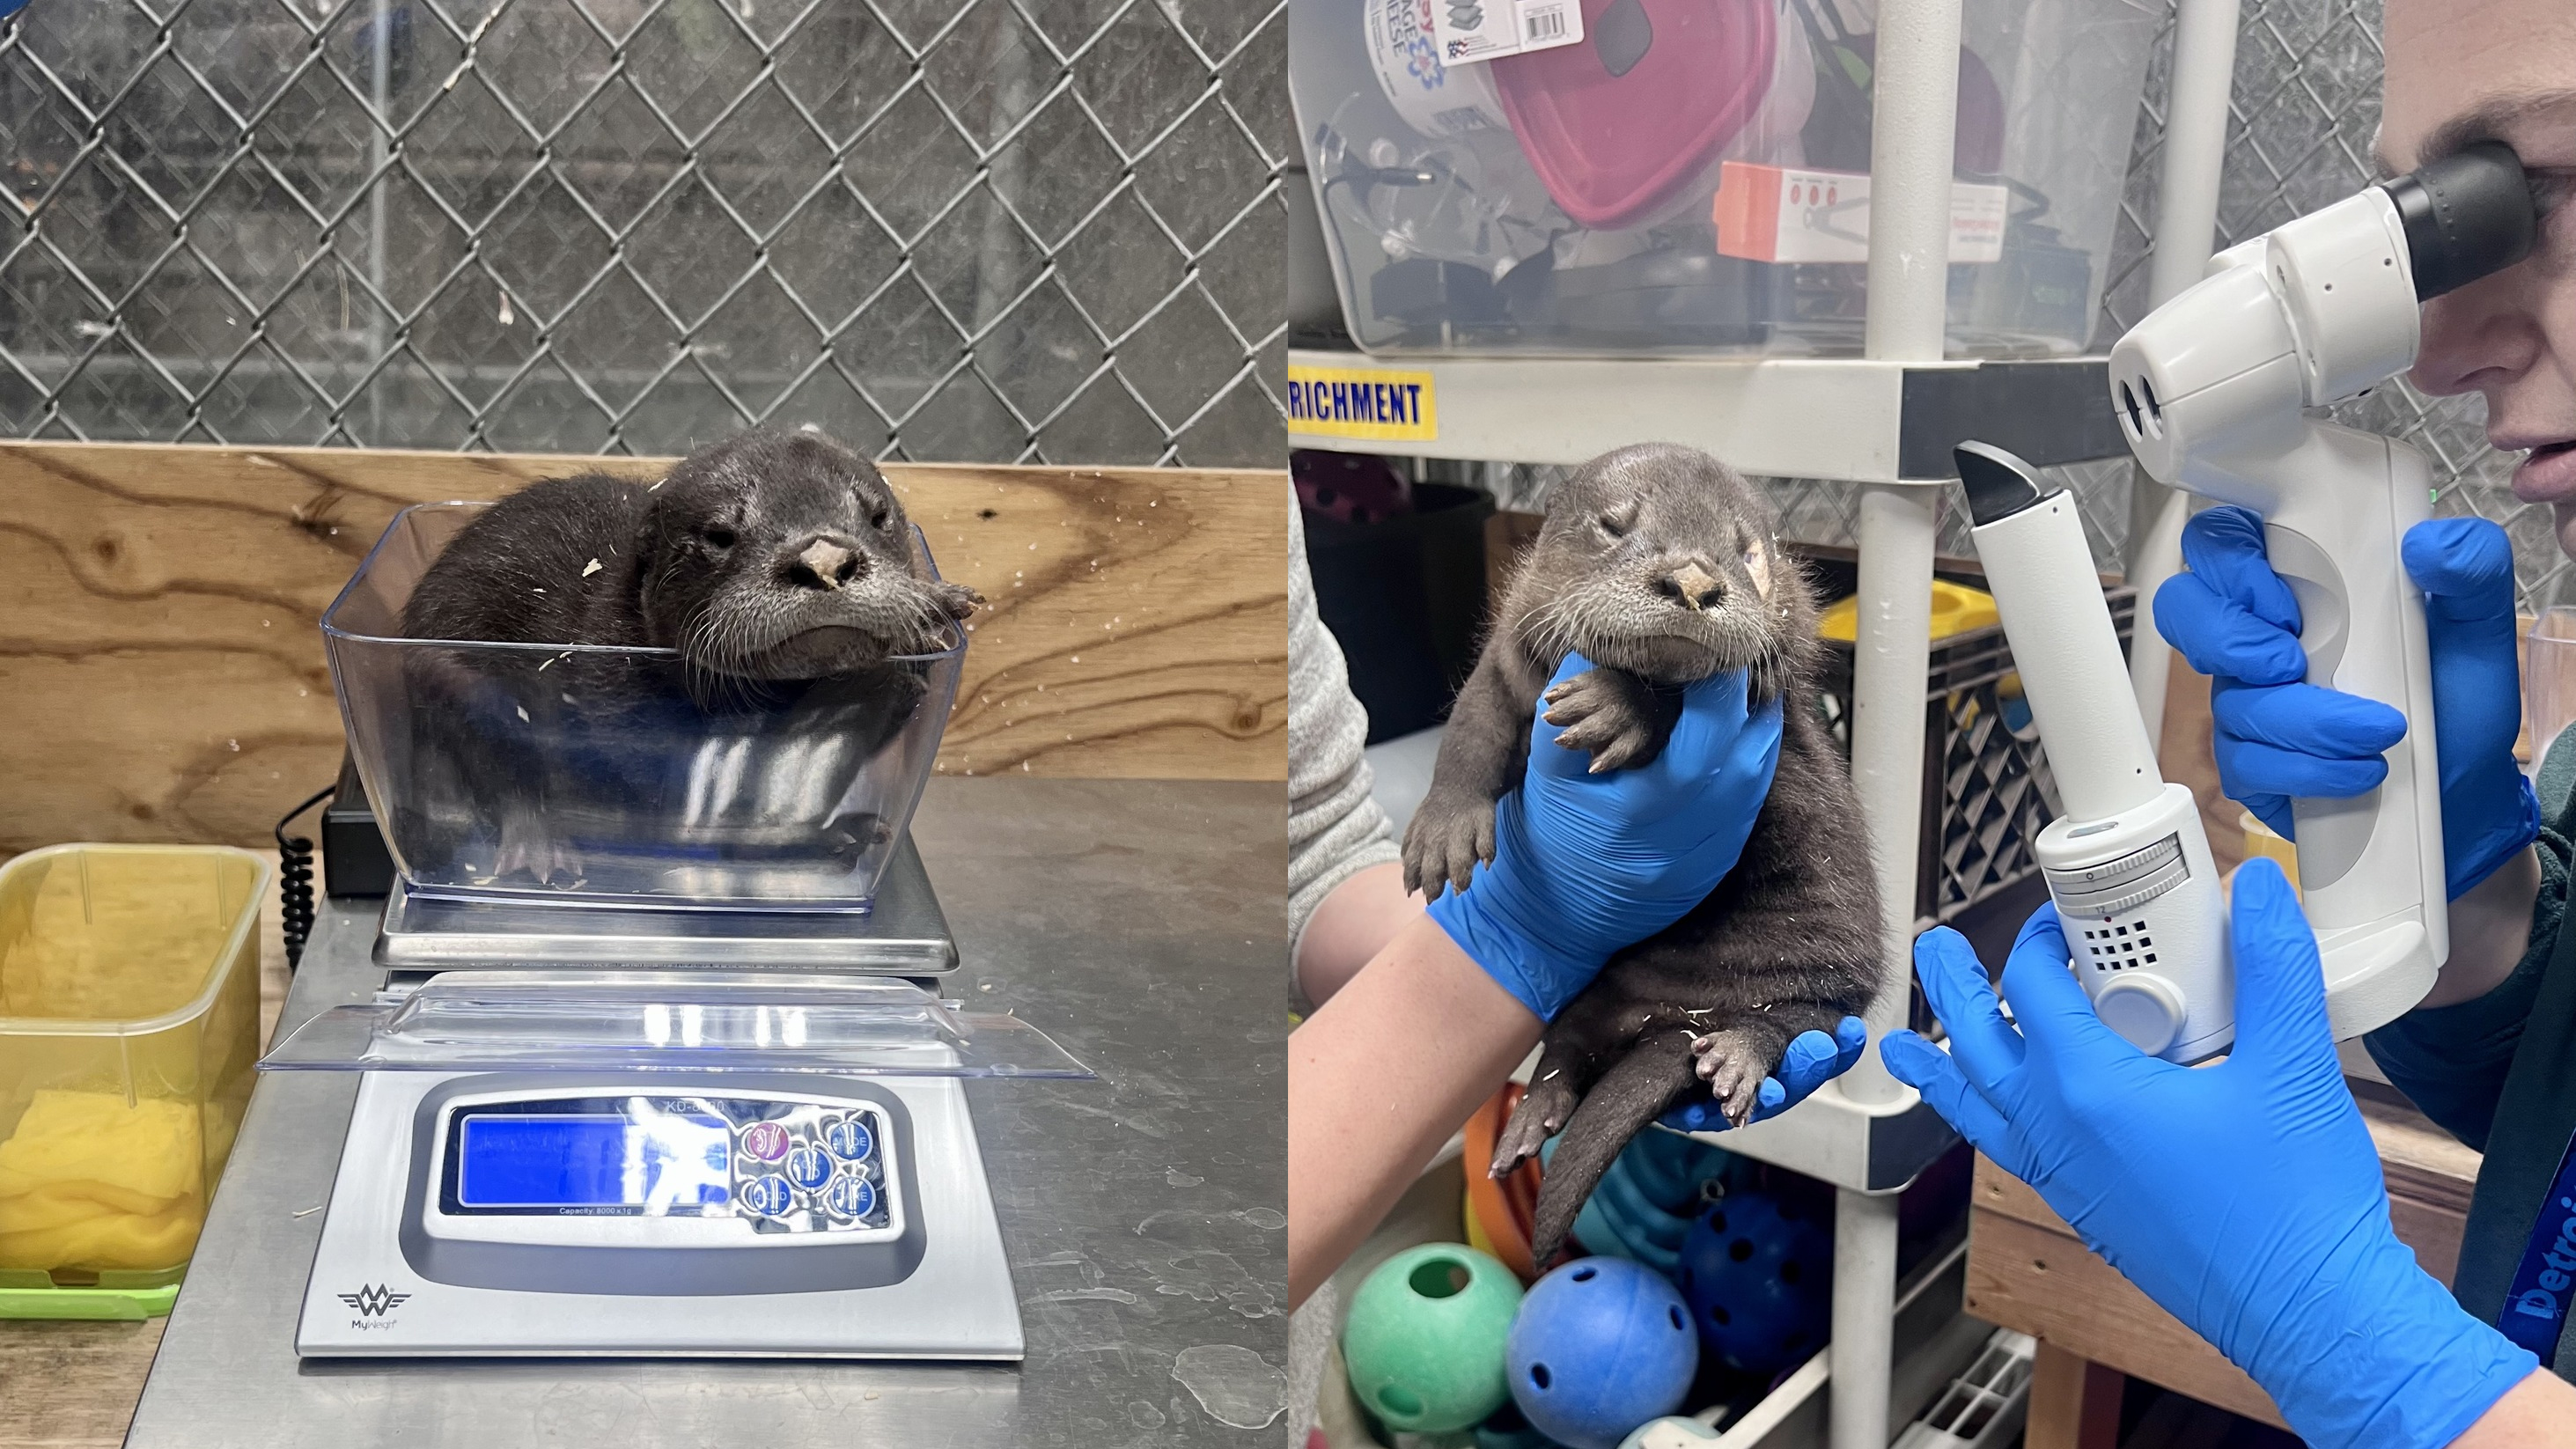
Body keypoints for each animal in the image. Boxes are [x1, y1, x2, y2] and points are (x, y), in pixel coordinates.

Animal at [394, 428, 980, 887]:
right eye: (721, 534)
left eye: (878, 515)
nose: (825, 559)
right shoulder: (613, 710)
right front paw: (886, 664)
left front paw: (934, 607)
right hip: (454, 676)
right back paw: (540, 845)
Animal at [1404, 442, 1884, 1266]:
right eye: (1613, 526)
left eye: (1746, 551)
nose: (1694, 579)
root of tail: (1676, 1017)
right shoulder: (1509, 657)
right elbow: (1471, 726)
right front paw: (1442, 831)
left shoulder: (1771, 712)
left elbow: (1678, 703)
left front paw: (1619, 706)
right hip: (1598, 994)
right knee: (1567, 1044)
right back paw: (1535, 1113)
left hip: (1830, 984)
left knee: (1797, 1022)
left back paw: (1737, 1056)